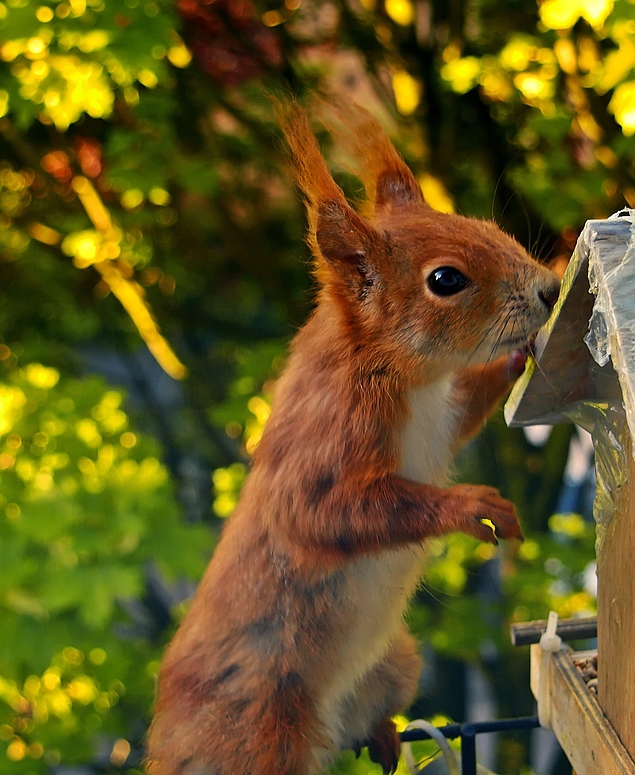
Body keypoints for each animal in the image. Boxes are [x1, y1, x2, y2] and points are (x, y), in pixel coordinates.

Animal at [145, 103, 560, 775]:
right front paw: (472, 506)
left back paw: (383, 735)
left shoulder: (443, 417)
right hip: (255, 738)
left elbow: (468, 406)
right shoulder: (326, 439)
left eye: (485, 225)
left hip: (393, 665)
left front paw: (519, 357)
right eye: (446, 279)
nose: (550, 289)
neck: (397, 374)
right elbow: (324, 513)